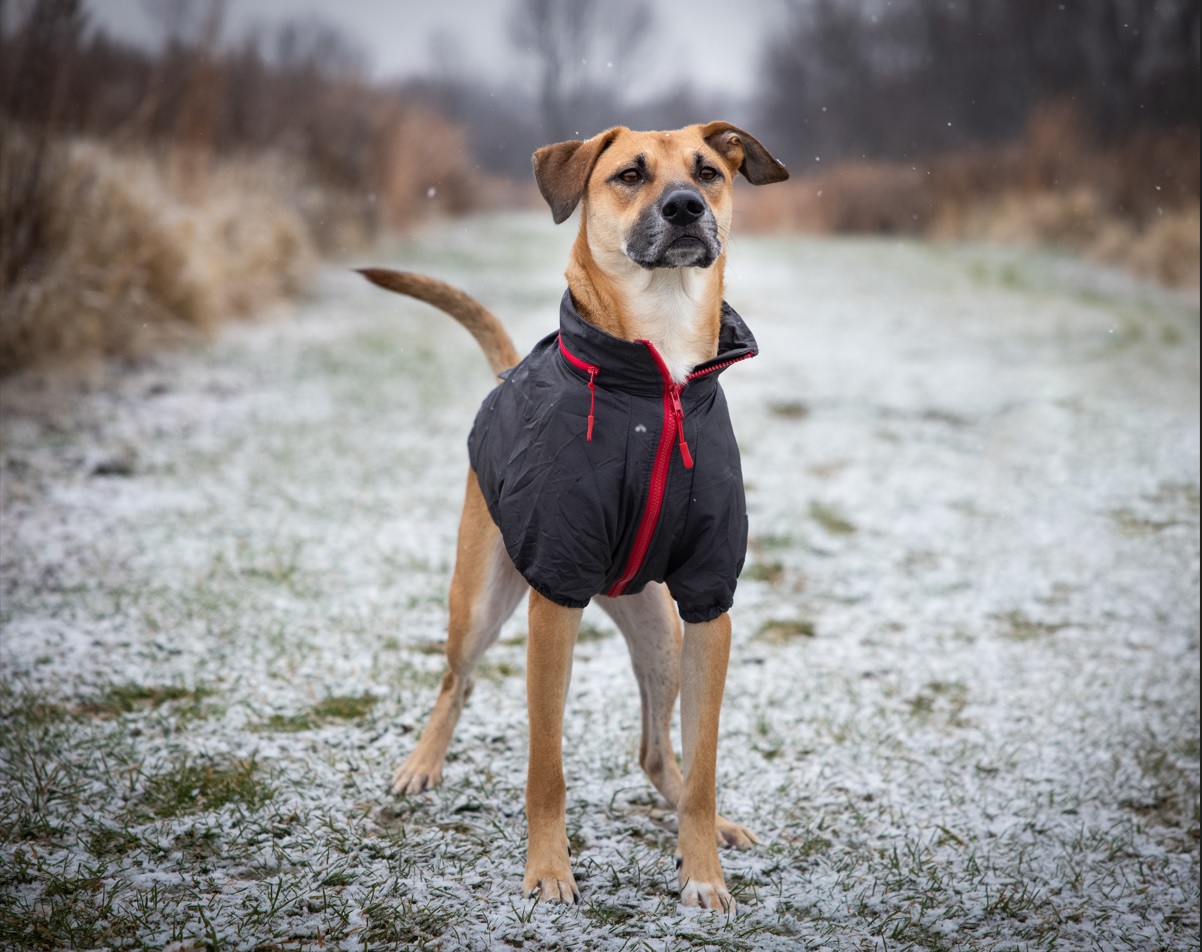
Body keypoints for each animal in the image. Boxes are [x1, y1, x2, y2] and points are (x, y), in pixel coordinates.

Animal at [355, 122, 788, 908]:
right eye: (630, 175)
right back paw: (421, 765)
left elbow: (704, 764)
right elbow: (546, 768)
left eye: (708, 172)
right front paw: (549, 871)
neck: (660, 380)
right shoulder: (553, 596)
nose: (684, 207)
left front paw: (704, 870)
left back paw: (700, 822)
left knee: (656, 752)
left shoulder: (709, 604)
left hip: (661, 633)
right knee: (456, 680)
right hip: (481, 597)